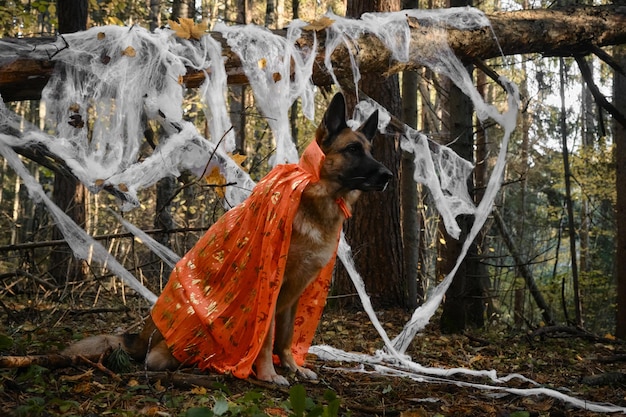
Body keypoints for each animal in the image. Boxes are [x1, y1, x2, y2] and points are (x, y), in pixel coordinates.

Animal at [64, 92, 394, 386]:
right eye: (352, 149)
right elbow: (267, 336)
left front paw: (292, 367)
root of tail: (144, 334)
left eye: (370, 150)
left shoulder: (296, 293)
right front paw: (268, 374)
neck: (314, 198)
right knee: (155, 359)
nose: (388, 175)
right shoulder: (270, 286)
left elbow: (286, 336)